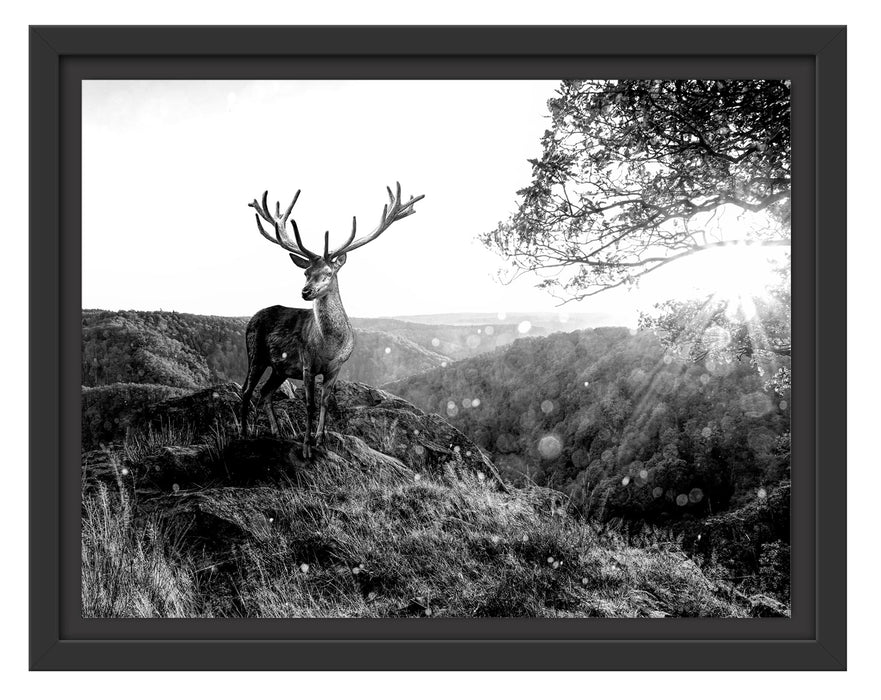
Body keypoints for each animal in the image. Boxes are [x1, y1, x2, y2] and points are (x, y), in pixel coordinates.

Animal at [241, 183, 424, 459]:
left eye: (328, 272)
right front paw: (306, 448)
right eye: (306, 272)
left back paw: (276, 432)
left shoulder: (336, 367)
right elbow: (309, 403)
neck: (329, 345)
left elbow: (325, 401)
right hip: (256, 352)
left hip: (280, 367)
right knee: (247, 390)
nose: (305, 292)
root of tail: (252, 319)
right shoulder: (306, 363)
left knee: (264, 392)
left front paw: (321, 440)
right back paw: (242, 433)